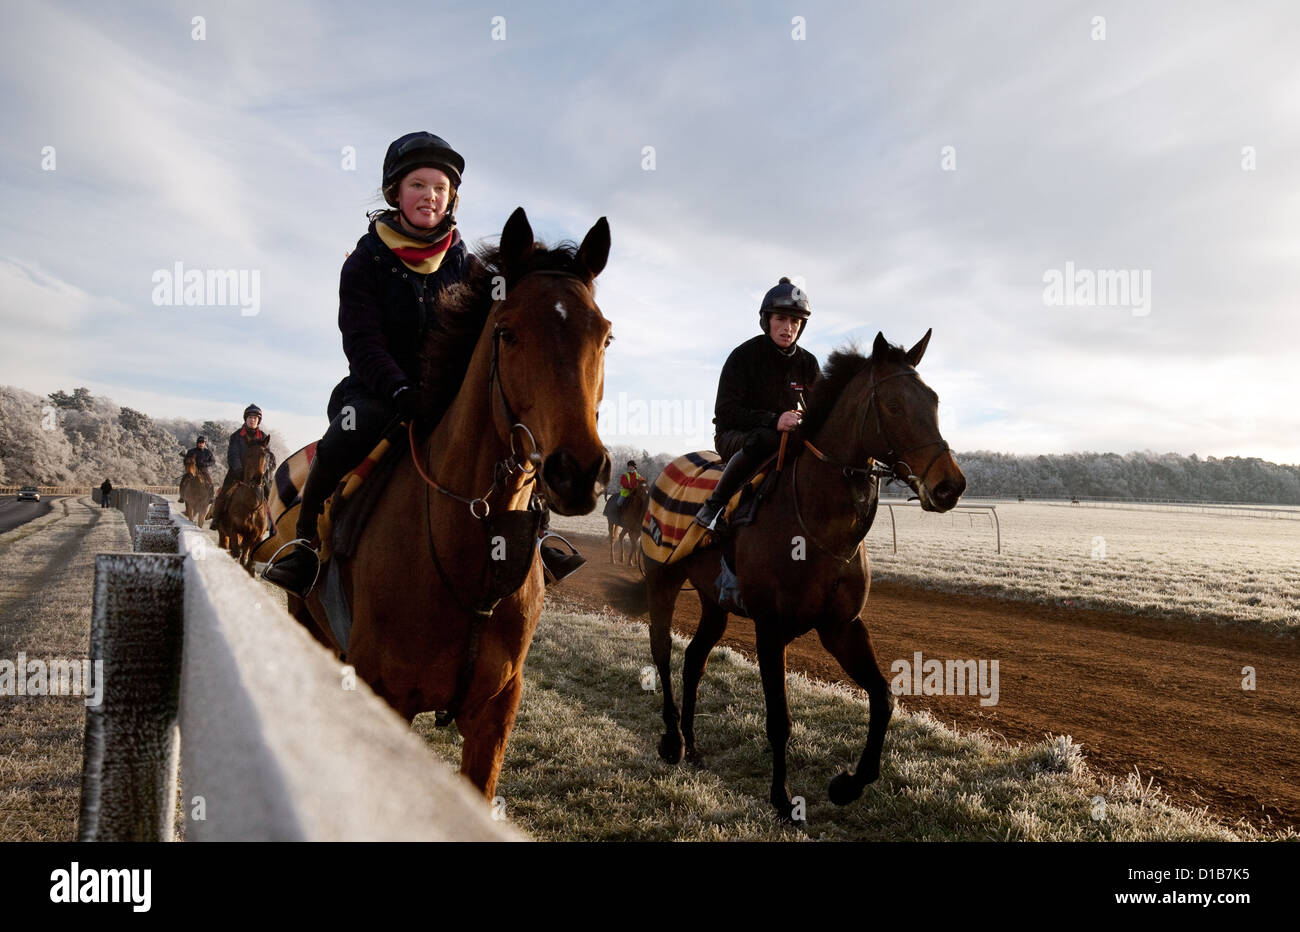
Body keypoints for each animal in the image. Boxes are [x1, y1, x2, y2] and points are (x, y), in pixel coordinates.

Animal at [218, 436, 271, 574]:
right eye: (249, 454)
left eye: (266, 455)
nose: (258, 478)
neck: (251, 506)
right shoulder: (234, 530)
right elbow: (236, 552)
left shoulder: (256, 537)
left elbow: (248, 561)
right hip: (224, 534)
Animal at [642, 331, 967, 816]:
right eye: (893, 405)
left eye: (934, 400)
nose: (950, 486)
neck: (817, 524)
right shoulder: (770, 628)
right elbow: (779, 718)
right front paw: (781, 798)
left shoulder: (841, 626)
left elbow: (883, 698)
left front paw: (848, 784)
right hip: (661, 581)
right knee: (663, 653)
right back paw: (672, 741)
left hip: (714, 603)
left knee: (694, 661)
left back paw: (693, 744)